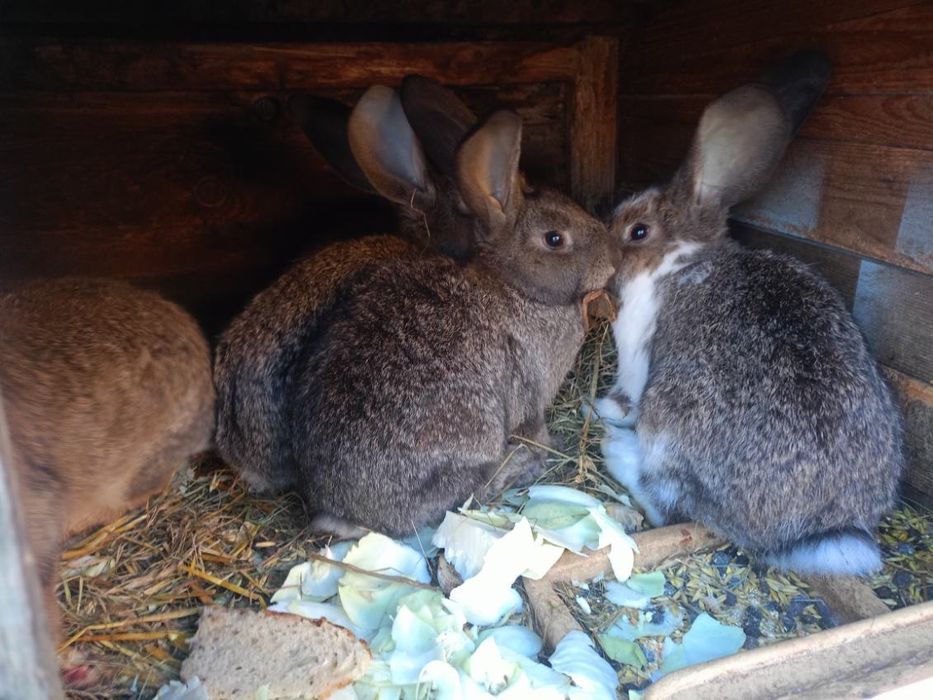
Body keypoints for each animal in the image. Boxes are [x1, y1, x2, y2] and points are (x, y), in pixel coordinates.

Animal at [594, 50, 905, 576]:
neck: (681, 260)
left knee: (667, 502)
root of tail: (817, 530)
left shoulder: (637, 353)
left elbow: (625, 396)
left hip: (669, 417)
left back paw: (616, 451)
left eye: (637, 231)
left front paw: (601, 409)